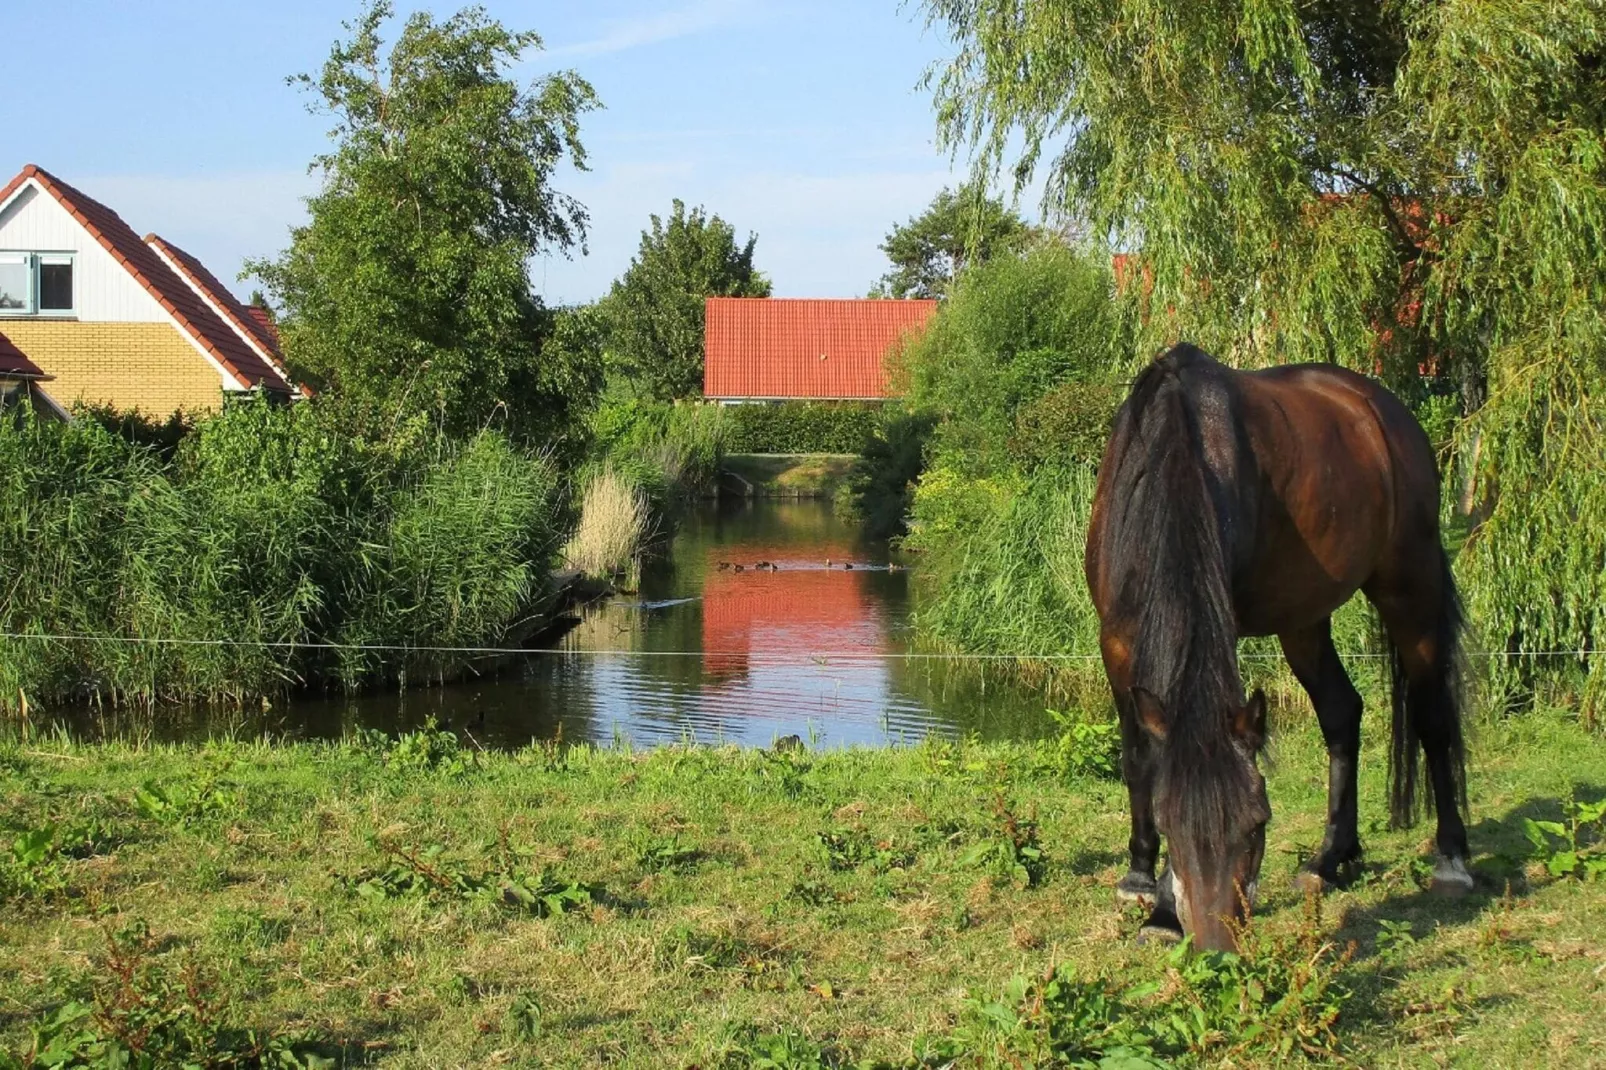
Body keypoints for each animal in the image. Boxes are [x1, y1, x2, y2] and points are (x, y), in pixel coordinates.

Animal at [1085, 342, 1471, 951]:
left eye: (1257, 822)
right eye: (1170, 824)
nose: (1217, 944)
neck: (1170, 456)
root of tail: (1381, 406)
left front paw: (1164, 908)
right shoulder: (1116, 643)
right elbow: (1140, 759)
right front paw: (1143, 882)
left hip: (1409, 585)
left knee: (1432, 716)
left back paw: (1452, 859)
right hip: (1304, 618)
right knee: (1342, 712)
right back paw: (1330, 859)